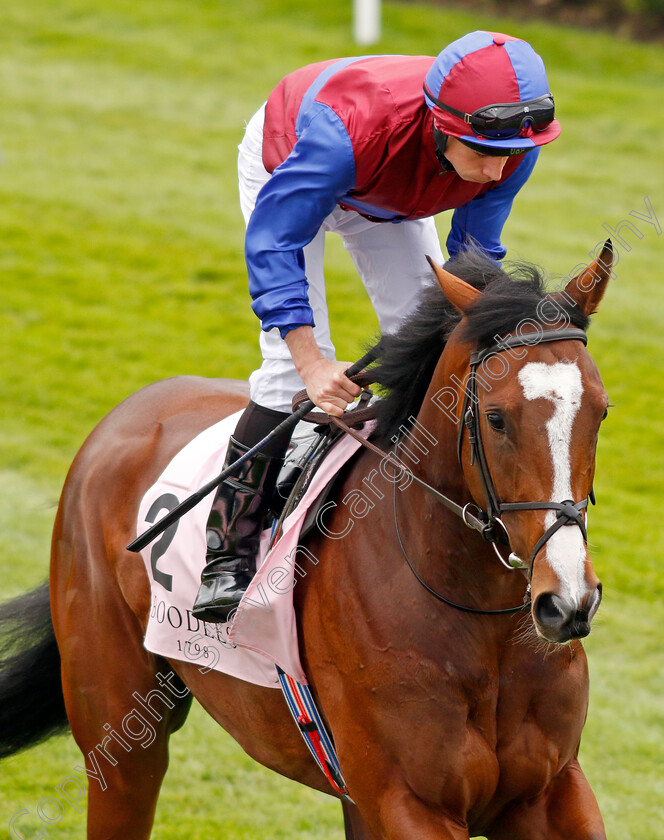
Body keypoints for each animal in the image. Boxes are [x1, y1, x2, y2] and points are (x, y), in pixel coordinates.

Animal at [0, 240, 612, 836]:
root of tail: (124, 415)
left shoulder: (548, 791)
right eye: (497, 418)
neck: (477, 622)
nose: (567, 601)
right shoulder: (408, 802)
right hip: (120, 730)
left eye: (602, 412)